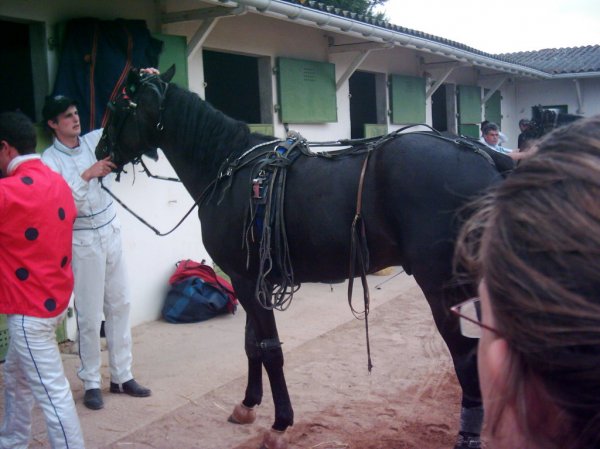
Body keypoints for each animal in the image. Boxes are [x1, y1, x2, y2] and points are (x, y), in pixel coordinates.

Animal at [96, 66, 508, 448]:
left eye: (117, 109)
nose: (100, 152)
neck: (230, 170)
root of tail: (484, 157)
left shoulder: (245, 279)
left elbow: (270, 350)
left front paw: (281, 423)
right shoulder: (251, 280)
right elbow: (252, 345)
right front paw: (248, 404)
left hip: (443, 285)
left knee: (466, 353)